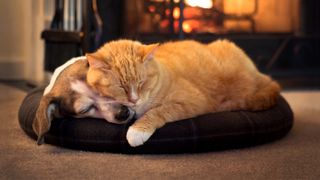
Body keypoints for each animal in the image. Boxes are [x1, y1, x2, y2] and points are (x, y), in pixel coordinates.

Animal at [85, 39, 280, 146]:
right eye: (121, 87)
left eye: (141, 83)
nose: (134, 100)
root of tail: (258, 72)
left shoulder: (193, 101)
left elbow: (157, 111)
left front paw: (137, 131)